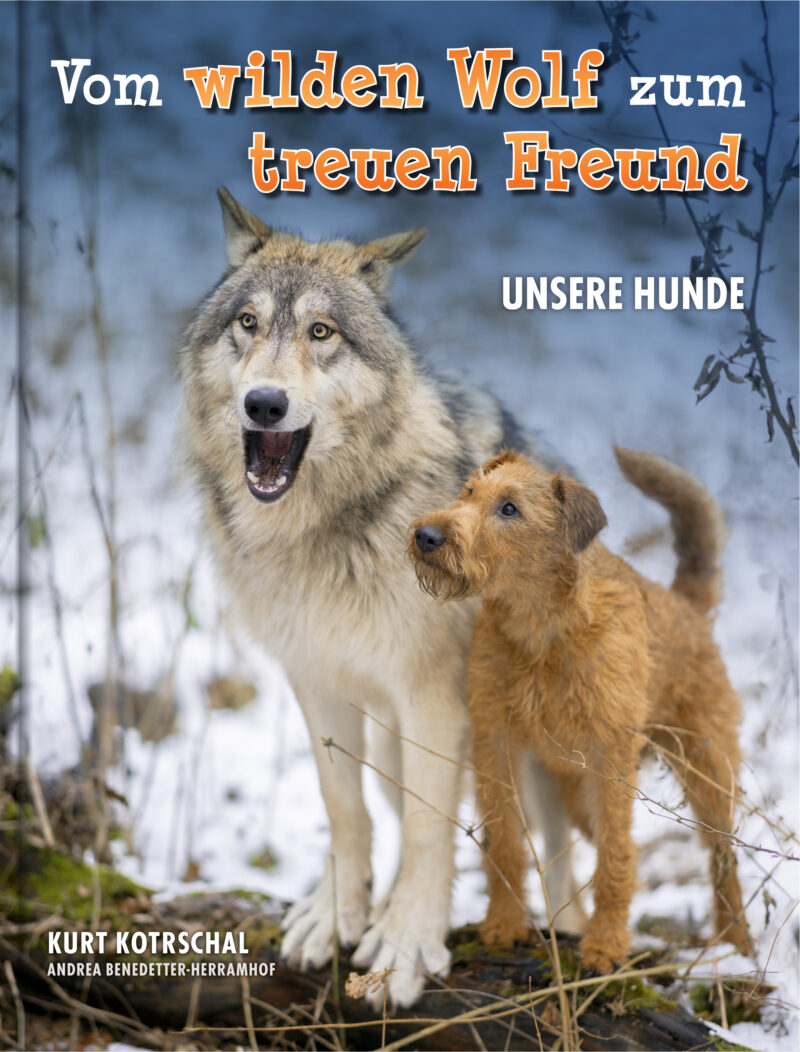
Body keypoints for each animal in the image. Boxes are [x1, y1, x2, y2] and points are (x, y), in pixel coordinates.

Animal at [178, 188, 581, 1006]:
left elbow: (429, 832)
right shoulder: (315, 679)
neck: (325, 531)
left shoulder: (431, 697)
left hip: (524, 755)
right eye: (248, 323)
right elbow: (345, 808)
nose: (264, 404)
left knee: (554, 858)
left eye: (321, 332)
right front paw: (340, 915)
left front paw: (406, 947)